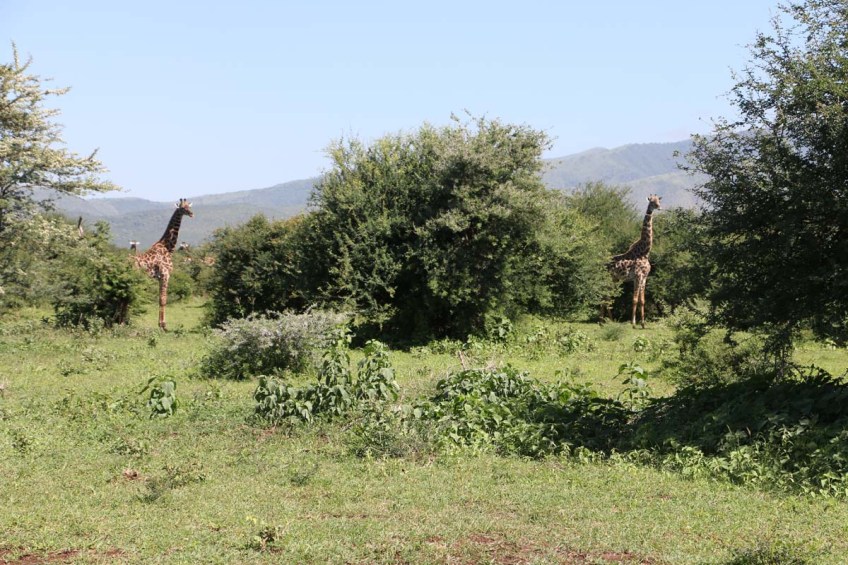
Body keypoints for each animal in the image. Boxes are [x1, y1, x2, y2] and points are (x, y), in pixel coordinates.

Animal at [132, 199, 194, 330]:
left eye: (189, 206)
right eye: (182, 208)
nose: (191, 213)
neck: (168, 247)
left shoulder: (160, 277)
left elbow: (160, 298)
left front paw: (160, 324)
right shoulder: (166, 274)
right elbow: (163, 299)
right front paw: (163, 326)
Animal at [603, 194, 661, 329]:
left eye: (659, 200)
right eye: (652, 201)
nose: (659, 207)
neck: (645, 252)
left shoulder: (643, 277)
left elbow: (642, 300)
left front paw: (643, 324)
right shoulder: (638, 276)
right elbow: (634, 300)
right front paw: (633, 323)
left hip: (614, 279)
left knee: (606, 296)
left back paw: (606, 320)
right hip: (609, 279)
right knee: (605, 296)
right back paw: (603, 320)